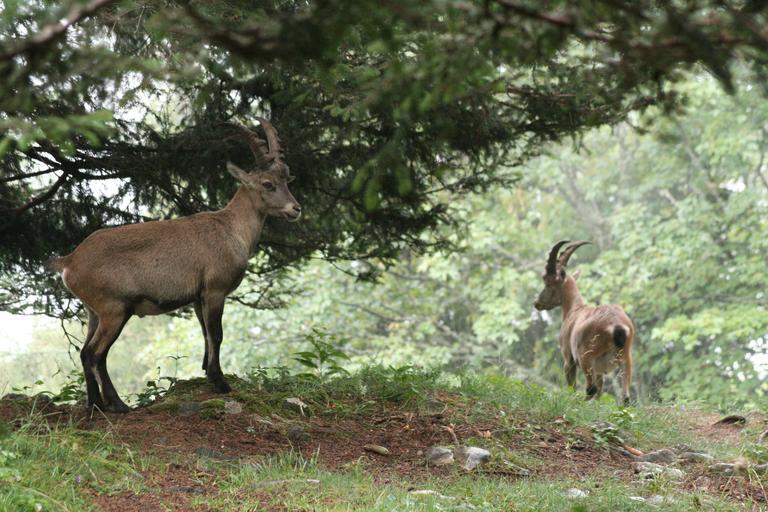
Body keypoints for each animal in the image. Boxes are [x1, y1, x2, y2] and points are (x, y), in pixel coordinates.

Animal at [48, 119, 300, 413]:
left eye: (288, 179)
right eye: (267, 184)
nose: (295, 209)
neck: (231, 229)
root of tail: (70, 261)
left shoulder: (198, 298)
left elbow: (205, 335)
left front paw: (208, 374)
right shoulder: (215, 290)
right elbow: (217, 334)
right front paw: (221, 383)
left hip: (94, 312)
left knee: (84, 352)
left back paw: (96, 405)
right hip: (115, 309)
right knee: (94, 353)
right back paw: (117, 404)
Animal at [533, 240, 634, 403]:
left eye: (548, 283)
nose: (537, 303)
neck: (574, 310)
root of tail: (616, 326)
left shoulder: (568, 358)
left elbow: (572, 386)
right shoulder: (599, 369)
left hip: (586, 357)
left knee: (590, 389)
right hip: (625, 359)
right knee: (624, 396)